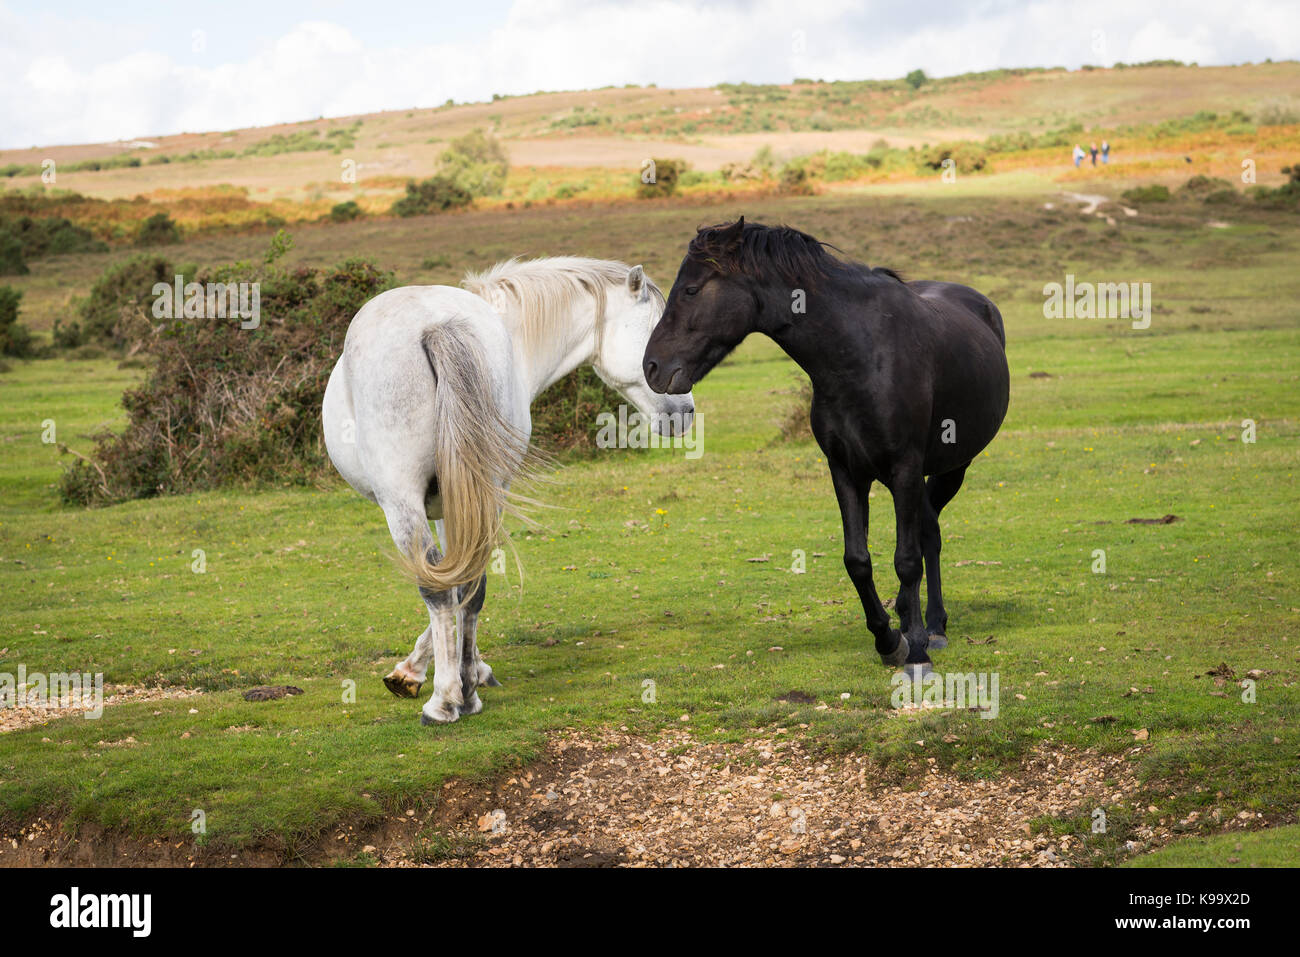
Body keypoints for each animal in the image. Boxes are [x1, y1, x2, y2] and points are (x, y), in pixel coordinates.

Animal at [321, 260, 696, 722]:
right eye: (656, 336)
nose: (686, 413)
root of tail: (438, 326)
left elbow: (448, 587)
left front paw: (415, 672)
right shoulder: (463, 499)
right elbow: (463, 583)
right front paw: (465, 670)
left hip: (402, 502)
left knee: (438, 589)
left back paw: (444, 701)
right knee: (470, 582)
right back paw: (463, 693)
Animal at [644, 217, 1008, 670]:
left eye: (692, 290)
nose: (652, 366)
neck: (862, 354)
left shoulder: (905, 468)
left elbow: (906, 560)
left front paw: (916, 648)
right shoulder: (845, 471)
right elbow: (858, 561)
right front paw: (890, 639)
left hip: (951, 468)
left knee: (928, 537)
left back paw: (934, 628)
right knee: (927, 531)